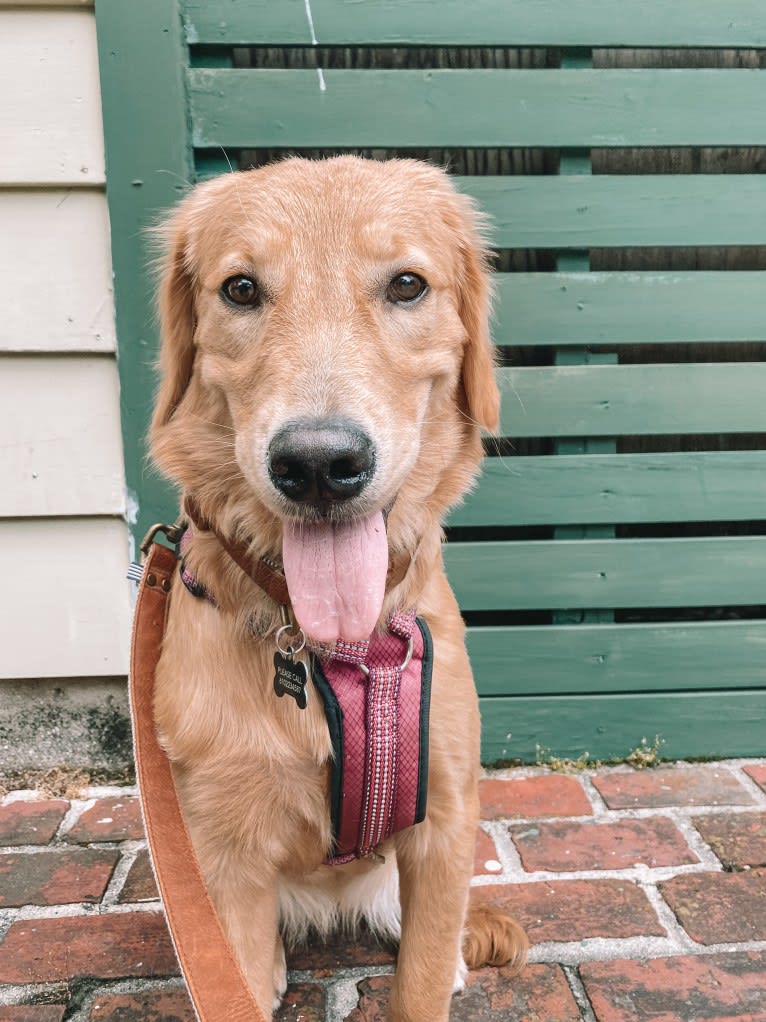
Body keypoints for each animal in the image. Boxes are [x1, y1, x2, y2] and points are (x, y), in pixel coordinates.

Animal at [150, 155, 527, 1017]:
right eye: (241, 289)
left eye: (407, 285)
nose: (319, 464)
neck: (330, 649)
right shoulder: (219, 852)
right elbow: (232, 971)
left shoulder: (445, 817)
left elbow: (421, 975)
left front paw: (438, 973)